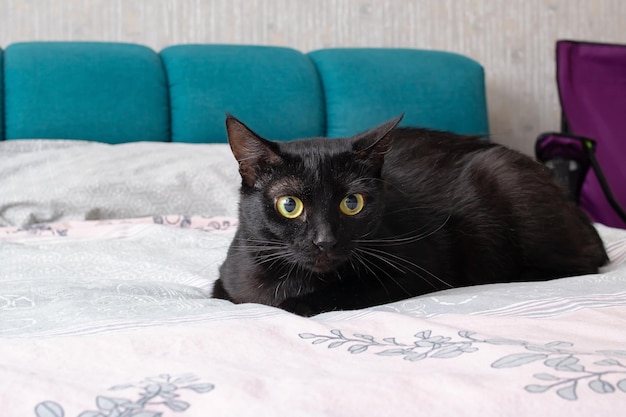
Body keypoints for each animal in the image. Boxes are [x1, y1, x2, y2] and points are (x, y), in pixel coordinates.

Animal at [211, 114, 604, 316]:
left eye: (351, 203)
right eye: (289, 205)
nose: (325, 240)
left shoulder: (417, 271)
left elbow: (325, 299)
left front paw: (297, 302)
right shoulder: (224, 282)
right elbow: (223, 292)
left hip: (503, 174)